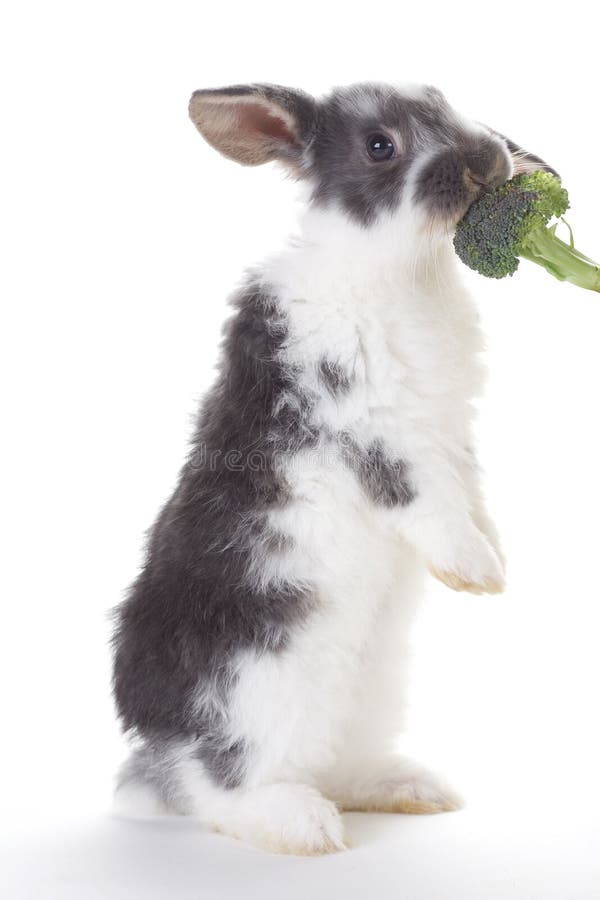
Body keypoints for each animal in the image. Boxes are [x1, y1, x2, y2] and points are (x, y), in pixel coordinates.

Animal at [110, 81, 552, 856]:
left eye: (441, 98)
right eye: (380, 146)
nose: (482, 161)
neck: (398, 268)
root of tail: (156, 756)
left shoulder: (451, 432)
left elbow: (470, 496)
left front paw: (493, 560)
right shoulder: (368, 430)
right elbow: (427, 500)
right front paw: (477, 574)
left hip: (368, 694)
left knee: (339, 765)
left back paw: (412, 789)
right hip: (253, 689)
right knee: (219, 787)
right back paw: (303, 827)